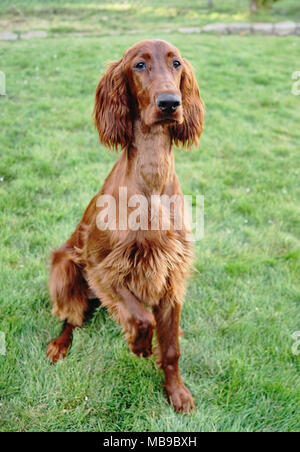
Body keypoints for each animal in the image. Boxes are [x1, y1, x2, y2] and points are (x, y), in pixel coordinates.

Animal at [46, 39, 204, 414]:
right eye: (139, 65)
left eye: (176, 63)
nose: (169, 103)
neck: (151, 180)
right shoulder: (100, 266)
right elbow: (141, 317)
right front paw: (139, 344)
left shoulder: (170, 272)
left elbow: (171, 348)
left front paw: (176, 392)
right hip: (65, 267)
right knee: (71, 318)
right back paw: (59, 345)